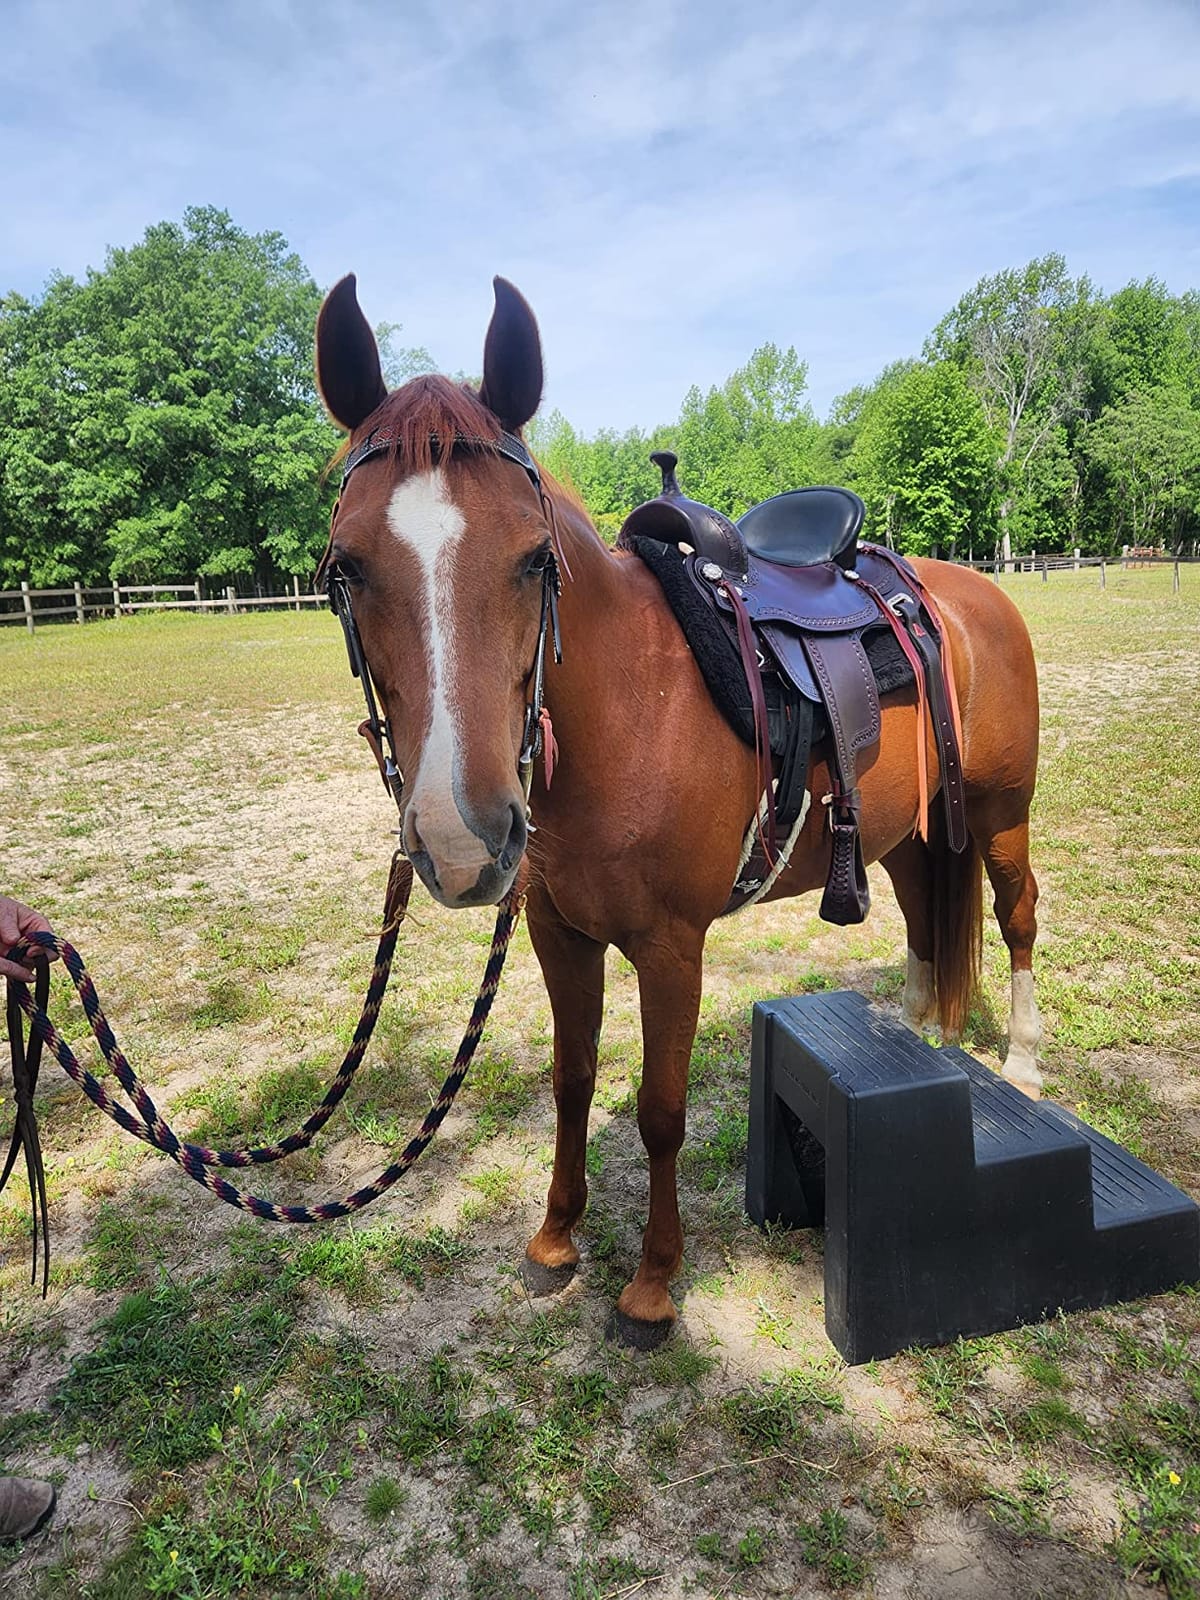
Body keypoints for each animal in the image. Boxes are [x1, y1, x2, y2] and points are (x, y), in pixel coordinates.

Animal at [314, 274, 1043, 1347]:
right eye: (346, 568)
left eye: (535, 559)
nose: (462, 839)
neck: (628, 711)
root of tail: (968, 591)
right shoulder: (557, 932)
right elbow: (572, 1080)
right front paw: (555, 1240)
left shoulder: (670, 947)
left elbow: (660, 1109)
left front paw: (653, 1286)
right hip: (908, 829)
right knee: (921, 911)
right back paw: (912, 1039)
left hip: (997, 813)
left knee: (1017, 914)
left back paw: (1025, 1064)